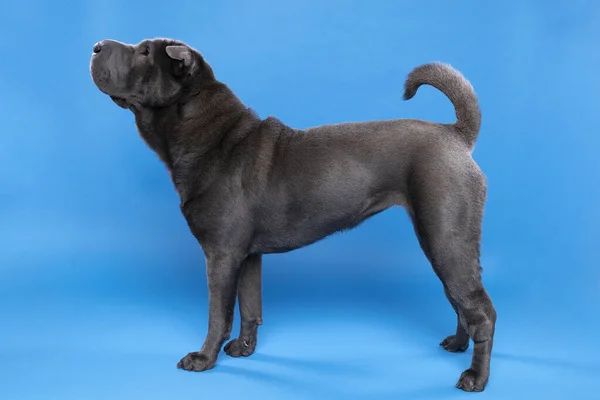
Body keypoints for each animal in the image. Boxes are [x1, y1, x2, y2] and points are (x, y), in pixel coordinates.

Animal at [90, 38, 496, 394]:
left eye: (144, 52)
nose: (96, 46)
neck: (208, 136)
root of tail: (456, 135)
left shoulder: (221, 254)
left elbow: (218, 313)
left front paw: (204, 359)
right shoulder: (247, 255)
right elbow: (250, 306)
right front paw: (244, 348)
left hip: (445, 238)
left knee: (480, 310)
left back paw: (475, 378)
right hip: (441, 240)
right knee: (461, 301)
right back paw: (457, 345)